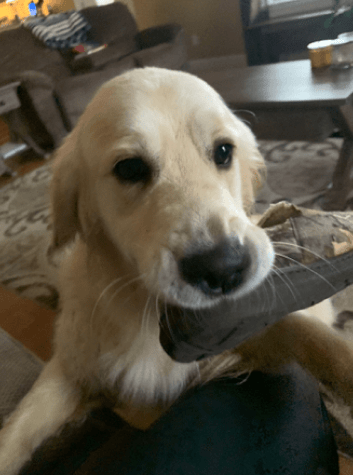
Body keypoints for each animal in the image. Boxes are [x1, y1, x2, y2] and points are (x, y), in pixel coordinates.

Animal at [0, 68, 352, 475]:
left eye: (223, 151)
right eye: (129, 168)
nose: (223, 269)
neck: (145, 311)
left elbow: (304, 332)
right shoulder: (72, 368)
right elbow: (20, 426)